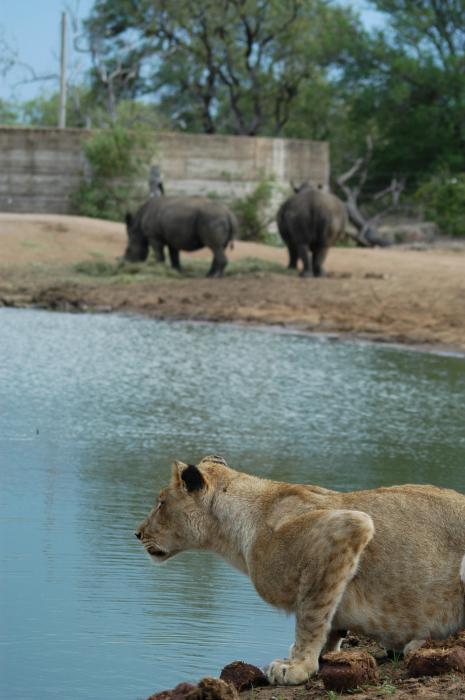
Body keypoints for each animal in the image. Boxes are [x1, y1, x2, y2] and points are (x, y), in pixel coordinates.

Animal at [135, 460, 465, 684]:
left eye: (161, 503)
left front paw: (297, 667)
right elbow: (329, 620)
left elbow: (311, 614)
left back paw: (419, 644)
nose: (137, 534)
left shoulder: (347, 526)